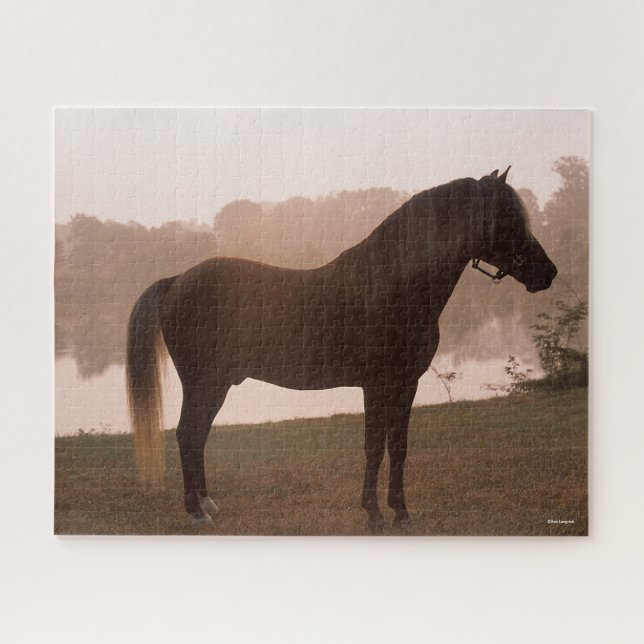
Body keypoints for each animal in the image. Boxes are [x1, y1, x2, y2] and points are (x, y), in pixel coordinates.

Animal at [126, 166, 557, 533]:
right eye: (509, 218)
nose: (548, 273)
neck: (393, 283)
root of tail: (178, 280)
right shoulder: (376, 385)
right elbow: (373, 447)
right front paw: (374, 515)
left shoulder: (405, 385)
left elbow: (397, 447)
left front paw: (401, 513)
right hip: (204, 384)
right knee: (187, 434)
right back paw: (197, 512)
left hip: (215, 386)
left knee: (197, 436)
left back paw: (206, 503)